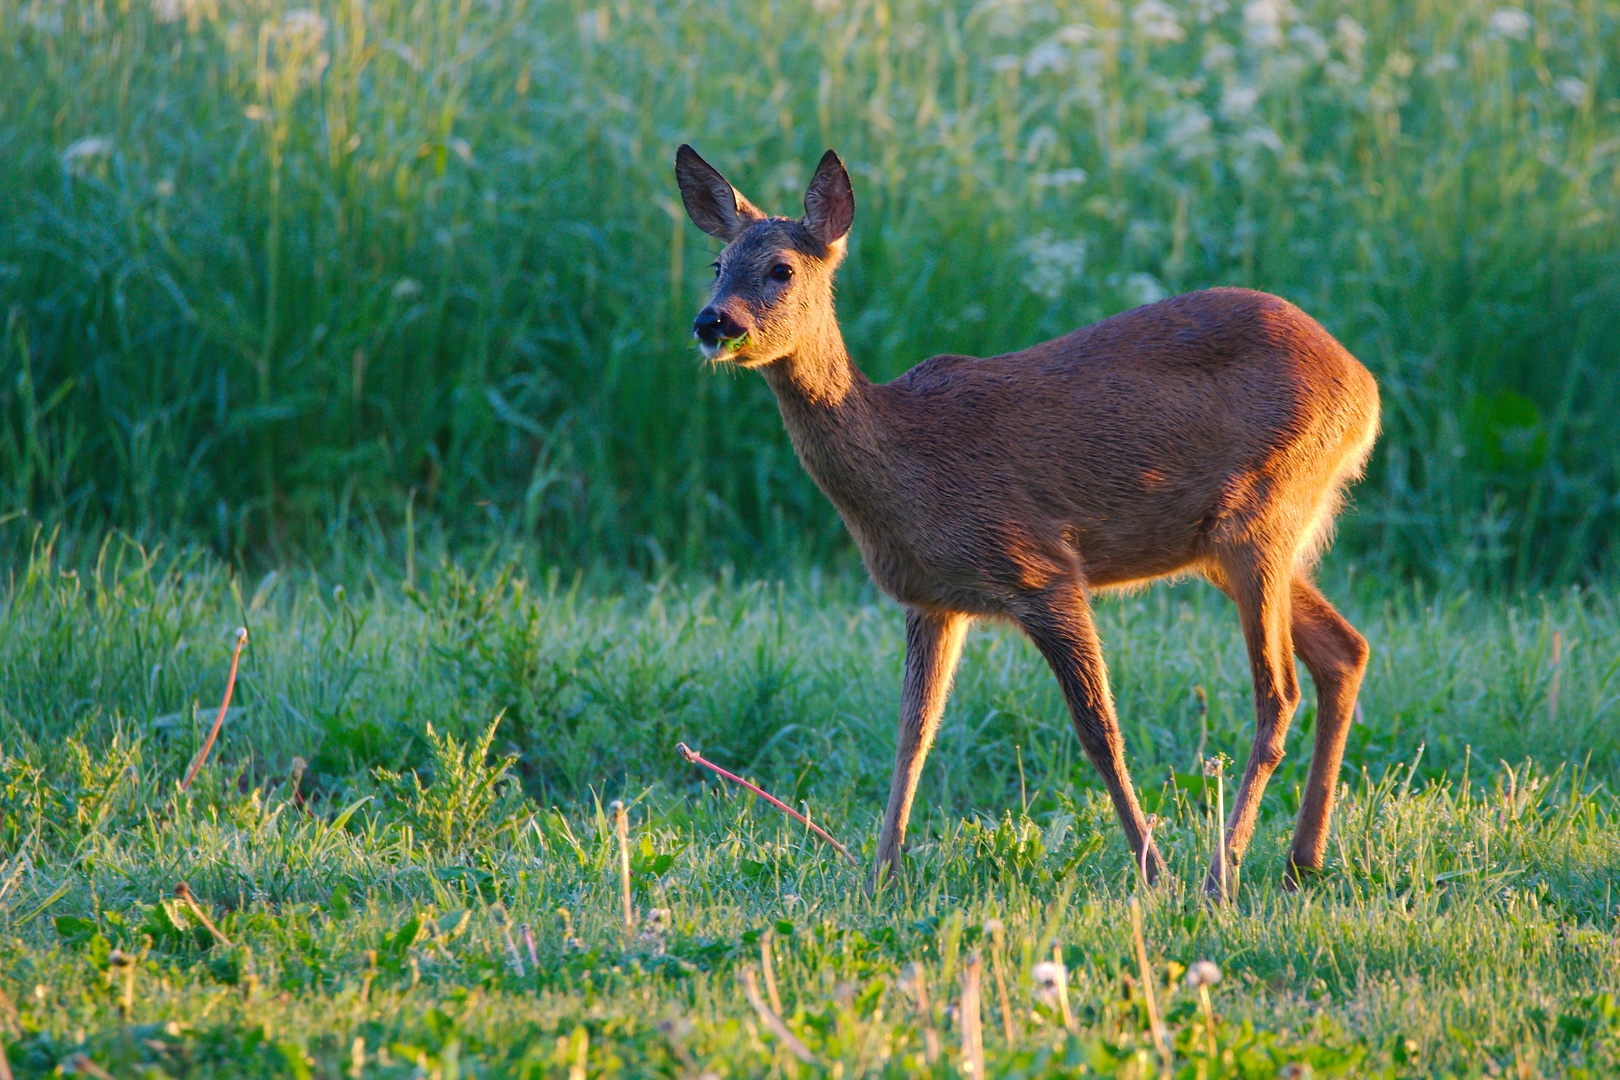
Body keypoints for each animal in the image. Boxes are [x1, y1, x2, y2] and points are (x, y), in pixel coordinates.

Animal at [673, 145, 1380, 893]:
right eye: (717, 265)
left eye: (781, 268)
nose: (713, 323)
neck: (907, 460)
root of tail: (1365, 387)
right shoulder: (931, 600)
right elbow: (913, 731)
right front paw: (882, 875)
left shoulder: (1041, 568)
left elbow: (1099, 730)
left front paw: (1153, 872)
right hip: (1230, 541)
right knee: (1345, 650)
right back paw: (1301, 860)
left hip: (1260, 515)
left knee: (1279, 692)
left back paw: (1221, 876)